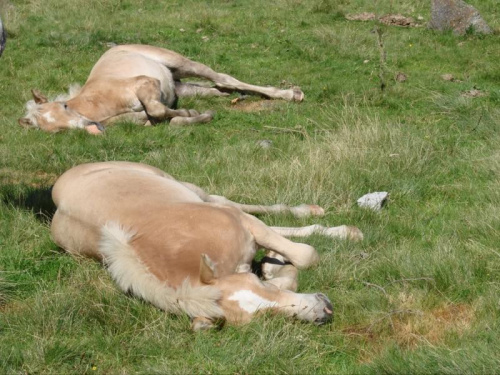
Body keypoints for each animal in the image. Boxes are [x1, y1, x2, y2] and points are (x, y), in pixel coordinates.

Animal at [17, 44, 302, 135]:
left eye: (64, 106)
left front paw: (189, 114)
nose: (92, 126)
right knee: (217, 89)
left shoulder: (146, 83)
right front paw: (195, 115)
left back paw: (291, 94)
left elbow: (156, 109)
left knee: (223, 78)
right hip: (179, 86)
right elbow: (156, 117)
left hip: (180, 63)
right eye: (55, 130)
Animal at [51, 161, 364, 328]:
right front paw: (273, 265)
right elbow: (291, 272)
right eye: (265, 317)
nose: (325, 310)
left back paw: (318, 215)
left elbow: (307, 255)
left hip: (187, 187)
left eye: (257, 285)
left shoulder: (244, 224)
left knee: (226, 201)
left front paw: (346, 233)